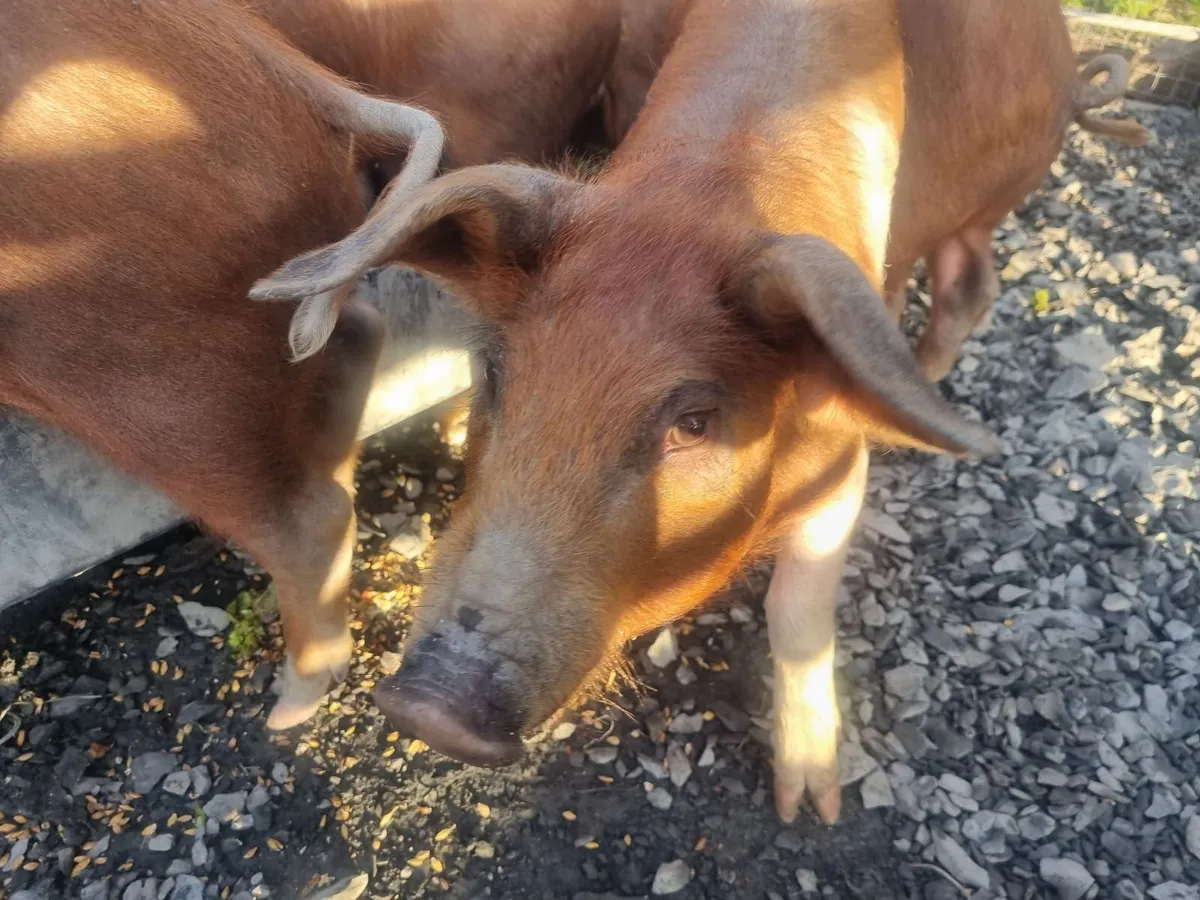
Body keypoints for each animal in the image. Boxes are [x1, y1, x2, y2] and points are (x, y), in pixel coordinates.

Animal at [252, 0, 1148, 821]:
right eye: (501, 372)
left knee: (970, 280)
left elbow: (799, 611)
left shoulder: (838, 463)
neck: (706, 193)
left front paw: (810, 808)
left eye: (693, 421)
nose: (428, 704)